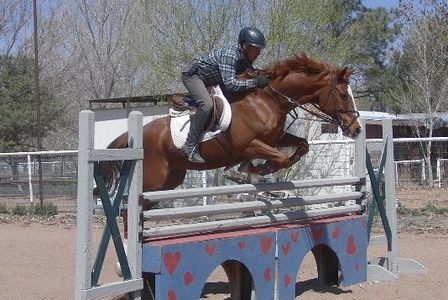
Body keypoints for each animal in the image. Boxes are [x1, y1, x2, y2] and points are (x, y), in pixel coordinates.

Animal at [100, 53, 360, 209]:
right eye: (343, 95)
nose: (356, 129)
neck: (268, 100)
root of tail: (137, 134)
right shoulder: (249, 144)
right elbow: (280, 158)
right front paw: (258, 169)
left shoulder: (275, 138)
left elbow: (302, 146)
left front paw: (250, 169)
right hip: (153, 181)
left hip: (169, 181)